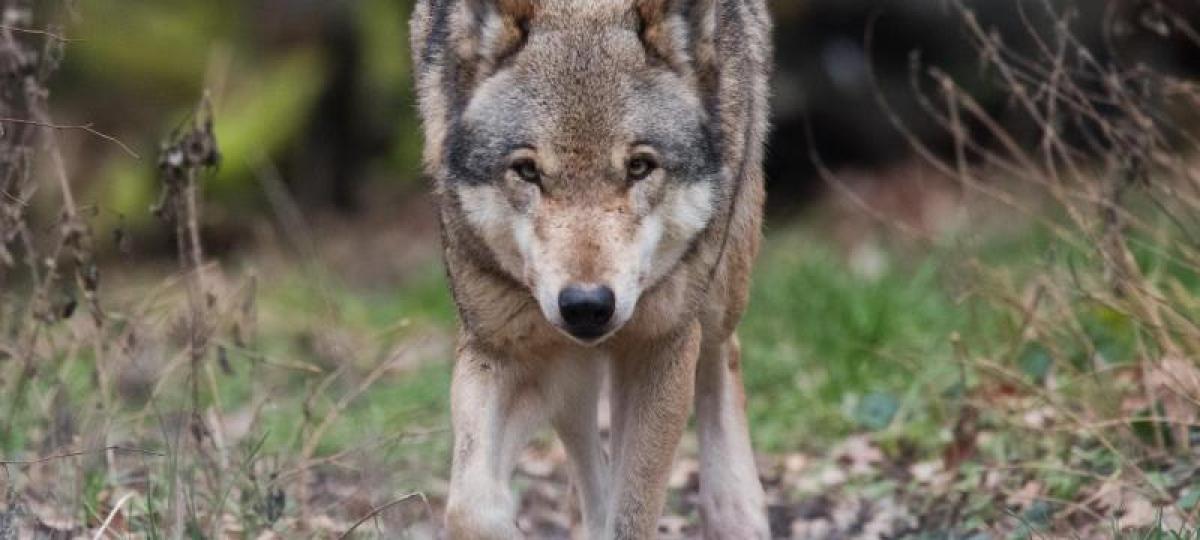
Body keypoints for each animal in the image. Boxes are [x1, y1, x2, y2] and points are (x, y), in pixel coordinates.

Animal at [410, 0, 772, 537]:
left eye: (639, 167)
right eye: (527, 171)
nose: (586, 305)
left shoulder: (660, 345)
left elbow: (632, 513)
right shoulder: (502, 348)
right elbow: (470, 506)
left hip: (718, 283)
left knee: (723, 354)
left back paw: (736, 511)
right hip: (566, 365)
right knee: (583, 441)